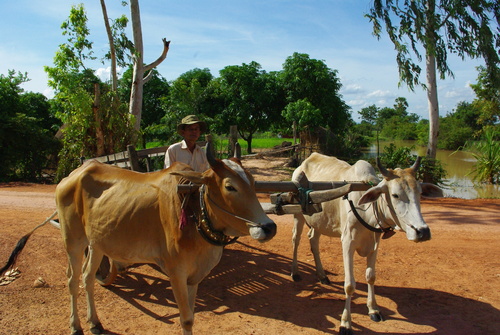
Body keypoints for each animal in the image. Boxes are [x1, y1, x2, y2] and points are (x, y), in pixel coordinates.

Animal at [290, 154, 442, 334]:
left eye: (419, 193)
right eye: (395, 195)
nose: (422, 231)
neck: (368, 209)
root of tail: (306, 160)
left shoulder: (374, 244)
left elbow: (371, 277)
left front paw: (373, 309)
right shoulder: (347, 243)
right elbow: (349, 285)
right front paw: (345, 323)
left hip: (319, 221)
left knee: (313, 239)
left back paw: (322, 275)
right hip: (298, 213)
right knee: (296, 239)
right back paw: (295, 272)